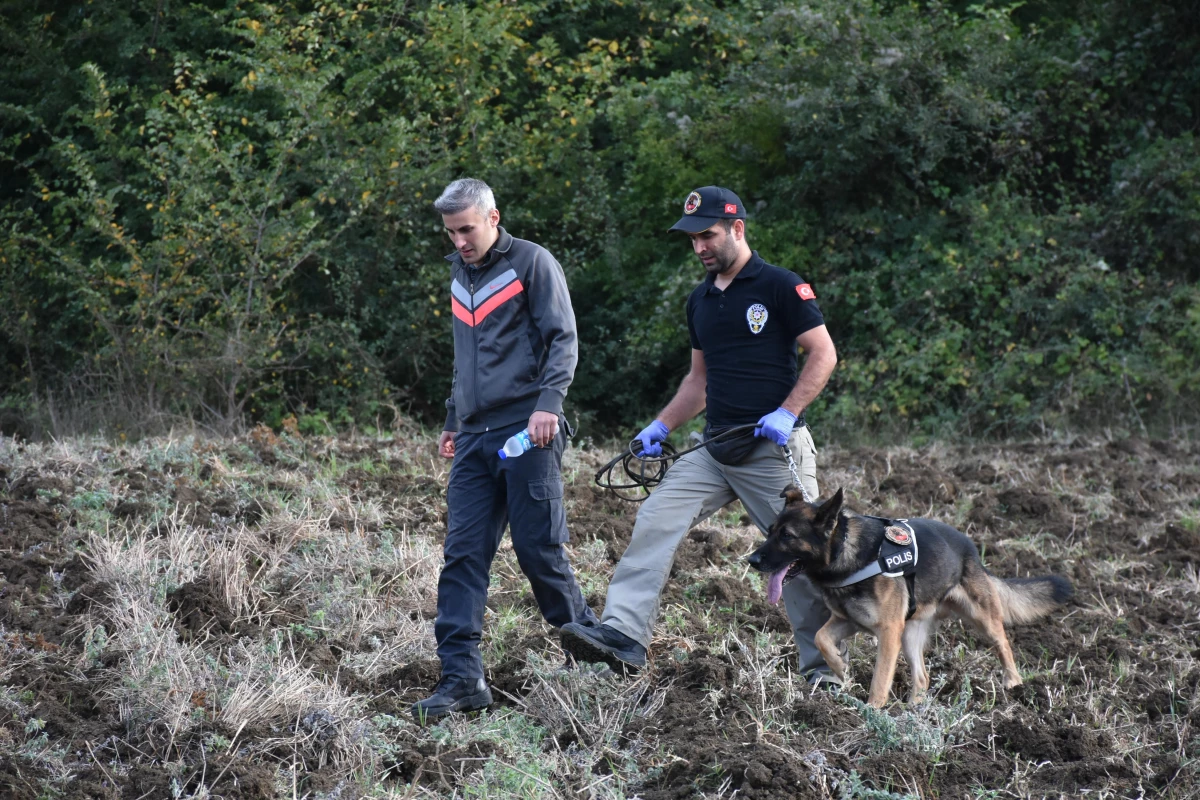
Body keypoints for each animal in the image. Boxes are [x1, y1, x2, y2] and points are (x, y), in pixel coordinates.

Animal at [744, 489, 1075, 705]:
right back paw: (914, 711)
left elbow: (879, 680)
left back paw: (1013, 684)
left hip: (979, 618)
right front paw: (838, 667)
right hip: (910, 634)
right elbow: (821, 638)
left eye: (787, 536)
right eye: (770, 531)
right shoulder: (847, 620)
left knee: (1003, 643)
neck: (844, 553)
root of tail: (971, 549)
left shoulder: (888, 631)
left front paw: (871, 713)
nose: (752, 560)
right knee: (922, 678)